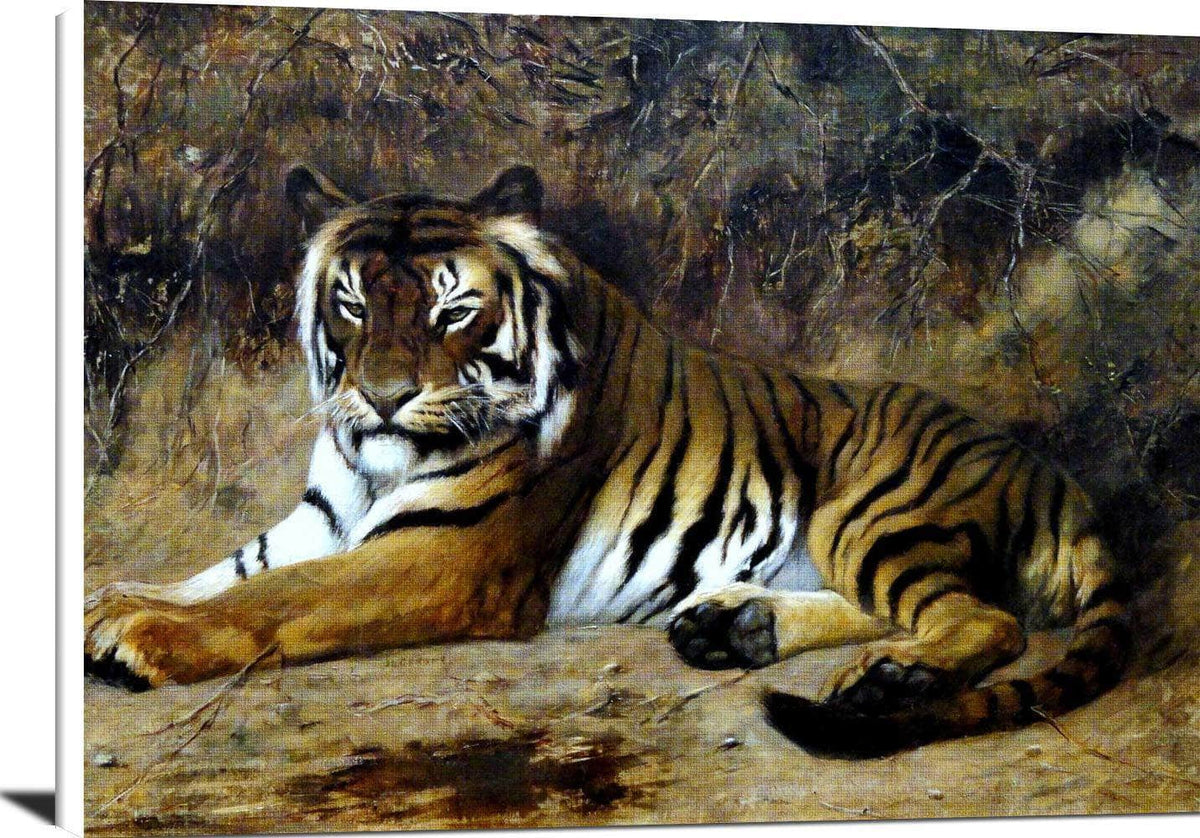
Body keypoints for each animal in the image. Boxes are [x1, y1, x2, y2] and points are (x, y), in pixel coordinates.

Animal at [85, 164, 1132, 758]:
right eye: (351, 303)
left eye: (451, 308)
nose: (380, 399)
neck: (376, 463)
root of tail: (1056, 475)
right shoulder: (322, 521)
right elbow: (221, 572)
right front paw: (114, 604)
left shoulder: (446, 559)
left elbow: (275, 598)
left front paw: (142, 639)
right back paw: (739, 628)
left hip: (867, 511)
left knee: (985, 617)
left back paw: (892, 679)